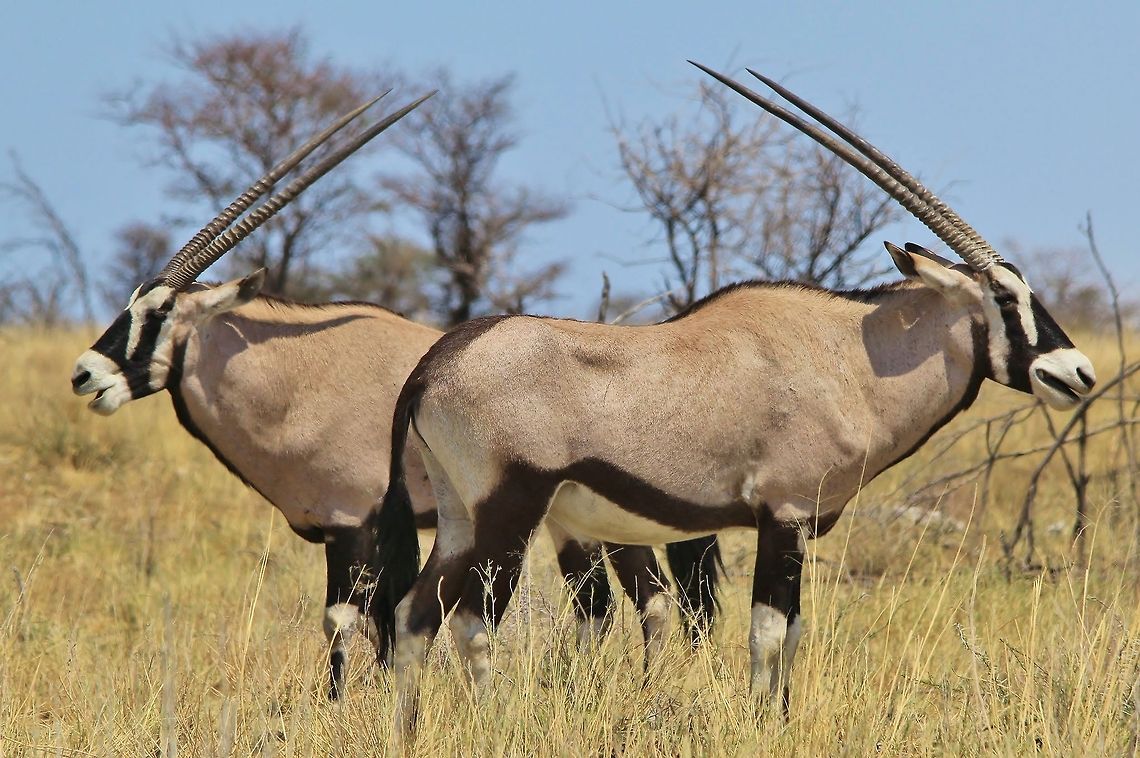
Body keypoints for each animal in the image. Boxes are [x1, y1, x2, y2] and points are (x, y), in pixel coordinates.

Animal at [70, 90, 721, 699]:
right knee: (619, 603)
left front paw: (342, 708)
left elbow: (343, 621)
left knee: (649, 600)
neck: (298, 379)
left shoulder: (353, 526)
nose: (85, 375)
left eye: (159, 311)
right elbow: (385, 623)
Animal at [372, 64, 1096, 737]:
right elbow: (768, 634)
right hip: (510, 513)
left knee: (415, 616)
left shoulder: (796, 527)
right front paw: (763, 723)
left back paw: (408, 731)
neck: (848, 355)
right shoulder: (785, 516)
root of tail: (438, 362)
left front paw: (781, 719)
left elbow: (793, 634)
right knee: (472, 622)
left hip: (461, 517)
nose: (1079, 372)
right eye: (1003, 296)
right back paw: (490, 723)